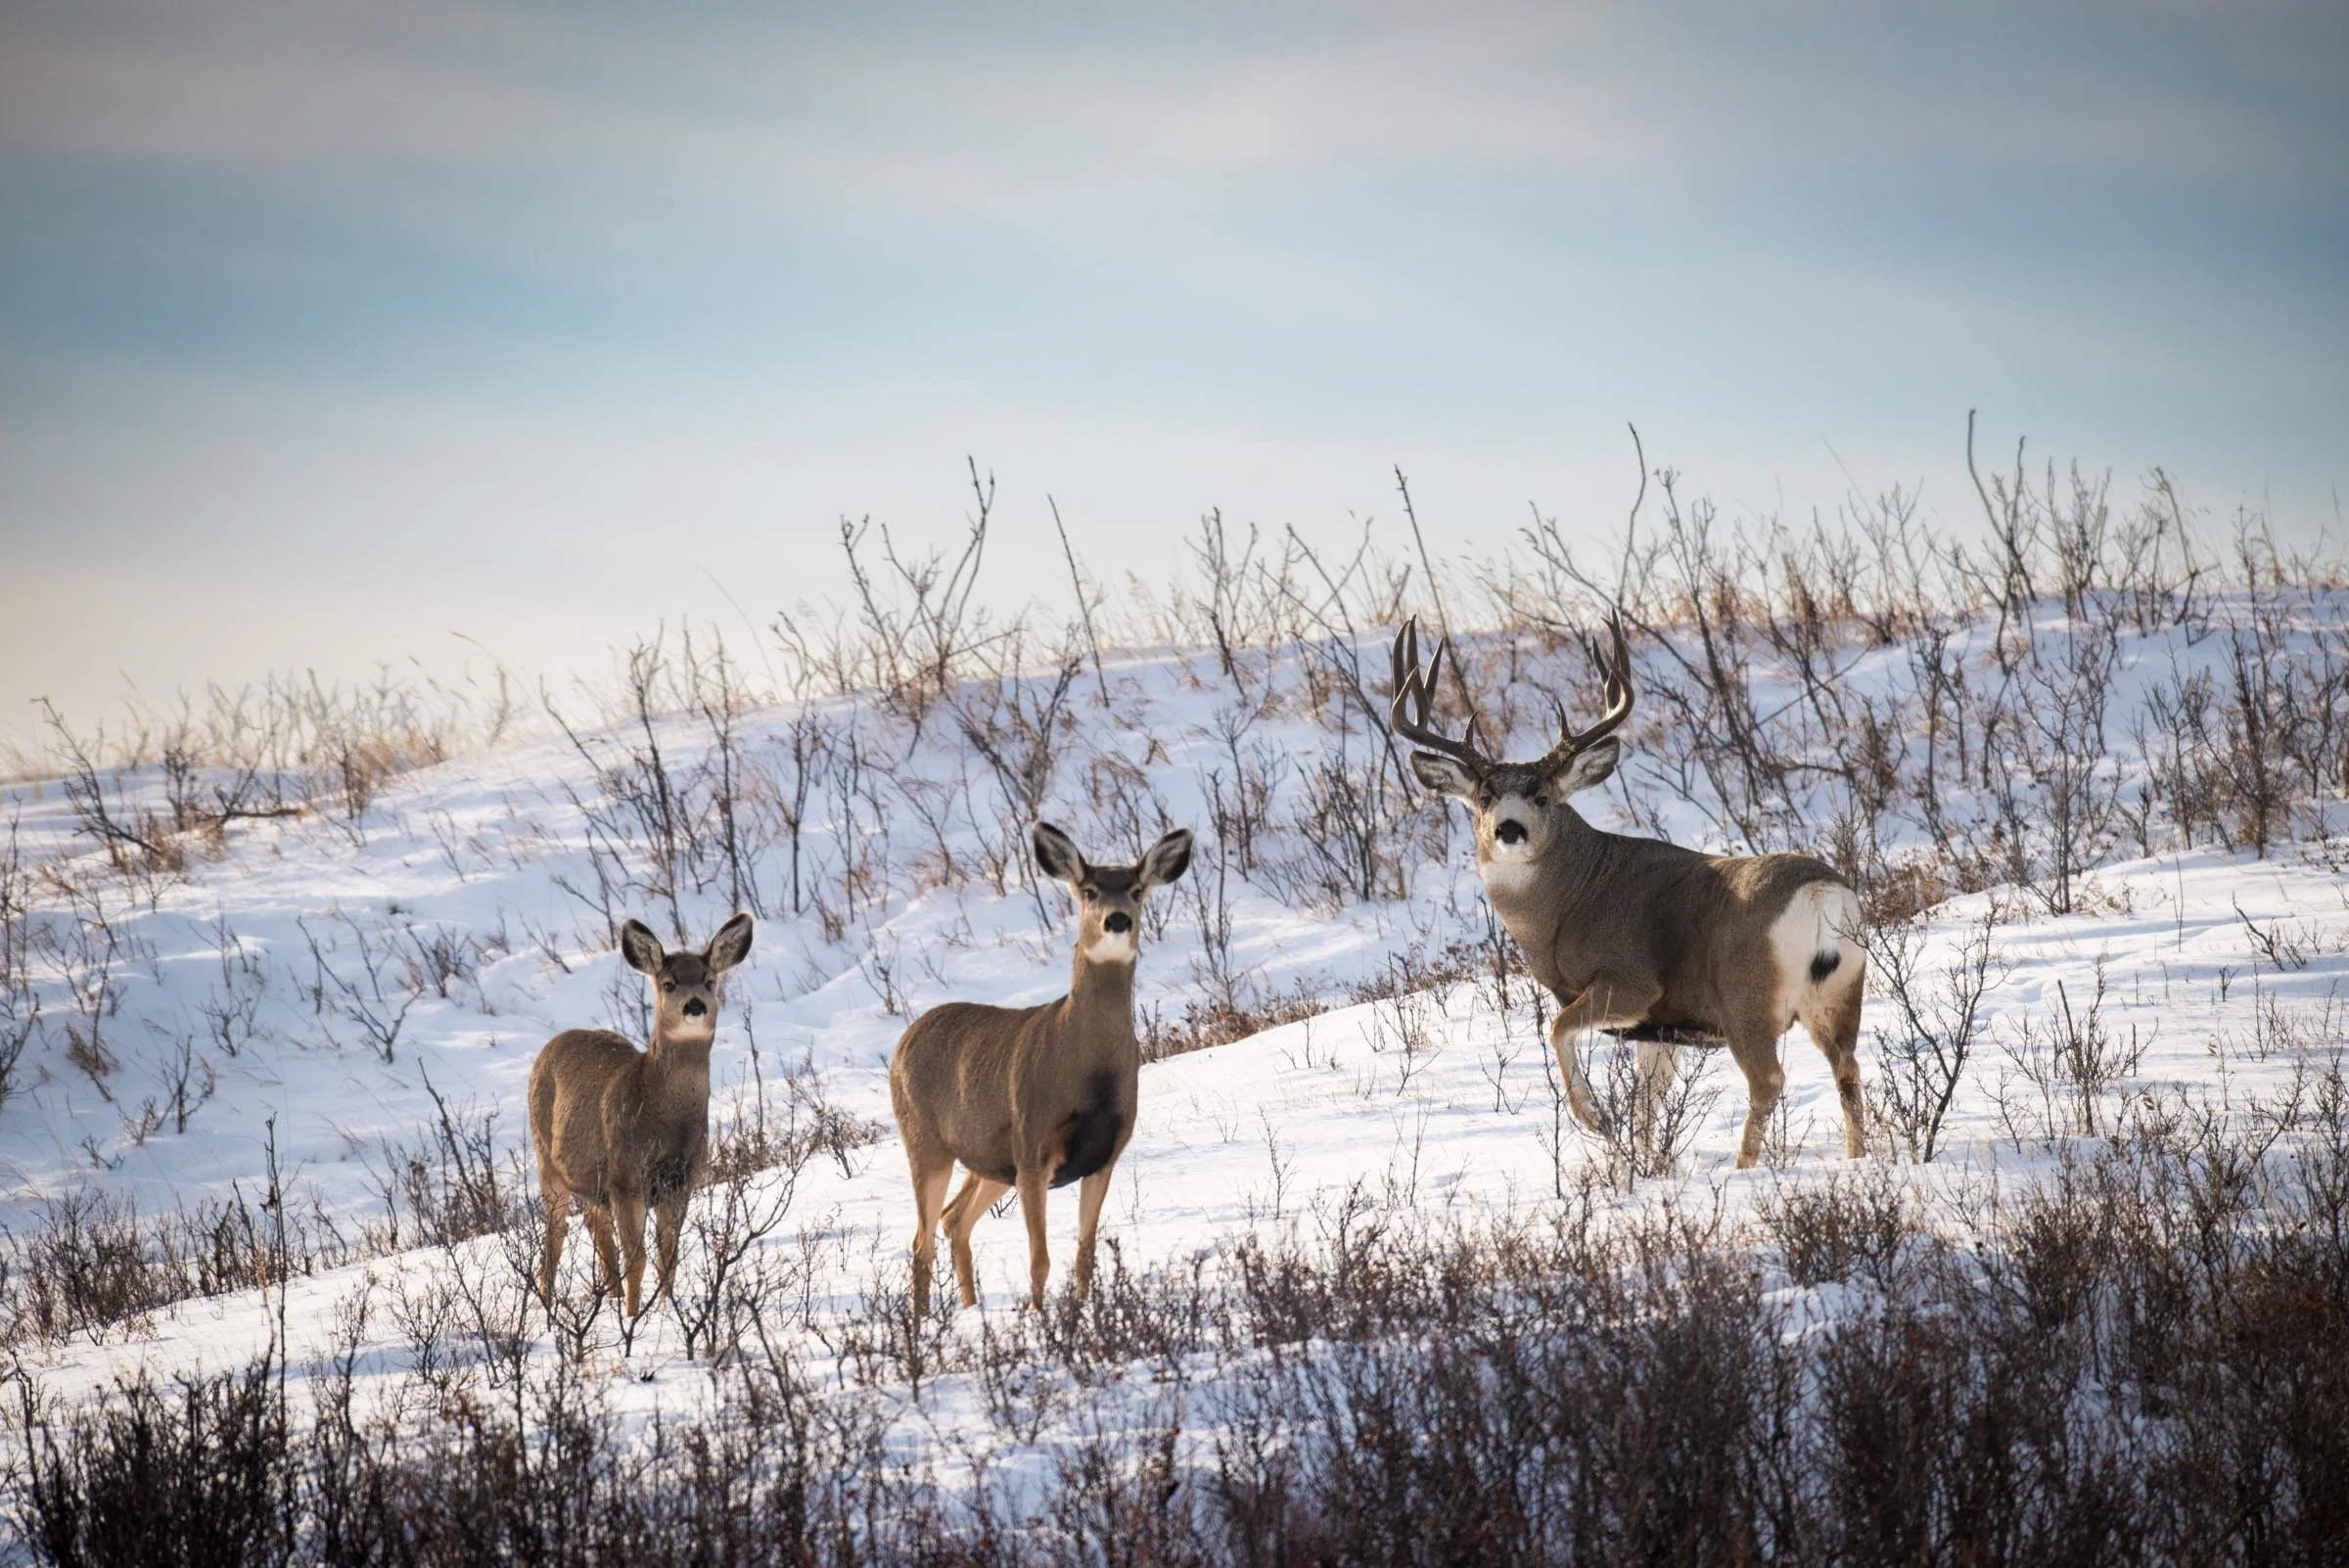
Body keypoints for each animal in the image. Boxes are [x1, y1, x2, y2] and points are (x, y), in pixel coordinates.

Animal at [528, 913, 754, 1315]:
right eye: (668, 983)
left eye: (709, 980)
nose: (695, 1005)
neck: (665, 1120)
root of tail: (553, 1043)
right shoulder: (625, 1175)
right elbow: (638, 1258)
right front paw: (634, 1317)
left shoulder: (682, 1180)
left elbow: (669, 1255)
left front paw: (665, 1308)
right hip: (546, 1158)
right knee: (555, 1234)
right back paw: (549, 1303)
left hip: (591, 1178)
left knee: (596, 1226)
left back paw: (611, 1295)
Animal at [889, 821, 1193, 1315]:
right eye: (1089, 890)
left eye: (1136, 889)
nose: (1117, 919)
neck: (1088, 1071)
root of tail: (903, 1040)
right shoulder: (1033, 1145)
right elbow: (1039, 1258)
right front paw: (1039, 1318)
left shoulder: (1104, 1154)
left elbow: (1085, 1251)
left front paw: (1083, 1313)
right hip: (925, 1140)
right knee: (922, 1238)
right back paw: (923, 1322)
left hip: (989, 1159)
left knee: (954, 1219)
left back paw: (970, 1309)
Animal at [1389, 617, 1866, 1169]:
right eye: (1484, 796)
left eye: (1543, 796)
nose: (1509, 829)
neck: (1570, 903)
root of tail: (1821, 895)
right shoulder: (1659, 1028)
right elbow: (1647, 1103)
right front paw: (1647, 1166)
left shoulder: (1633, 981)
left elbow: (1558, 1027)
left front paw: (1595, 1118)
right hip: (1839, 992)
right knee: (1847, 1068)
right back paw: (1856, 1158)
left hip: (1745, 996)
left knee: (1768, 1080)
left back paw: (1743, 1168)